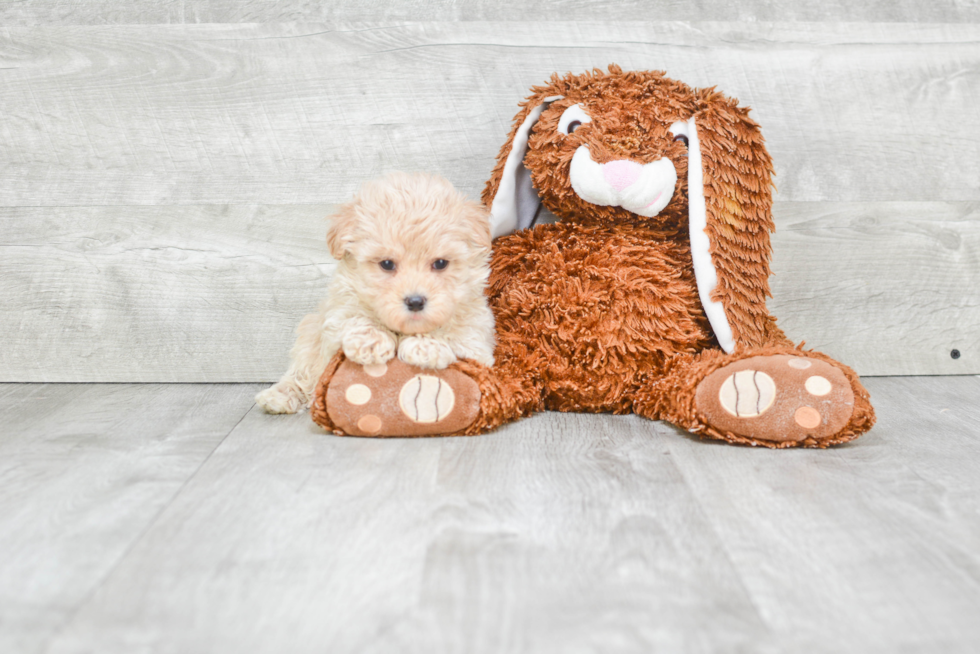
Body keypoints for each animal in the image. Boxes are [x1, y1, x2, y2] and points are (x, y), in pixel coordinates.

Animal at [256, 172, 494, 412]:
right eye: (387, 264)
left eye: (441, 263)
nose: (415, 301)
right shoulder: (339, 310)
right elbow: (354, 316)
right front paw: (370, 342)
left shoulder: (477, 341)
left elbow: (453, 332)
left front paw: (426, 346)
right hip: (309, 336)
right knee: (302, 373)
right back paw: (278, 396)